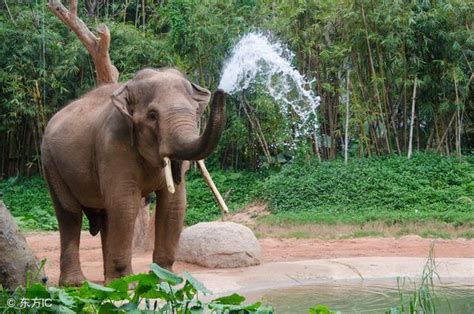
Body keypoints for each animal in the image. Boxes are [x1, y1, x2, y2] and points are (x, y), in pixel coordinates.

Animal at [40, 67, 226, 286]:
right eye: (153, 115)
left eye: (196, 111)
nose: (222, 91)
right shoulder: (113, 145)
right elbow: (125, 203)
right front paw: (126, 283)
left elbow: (174, 204)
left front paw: (164, 279)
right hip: (51, 163)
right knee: (70, 214)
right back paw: (77, 283)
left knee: (106, 215)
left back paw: (107, 282)